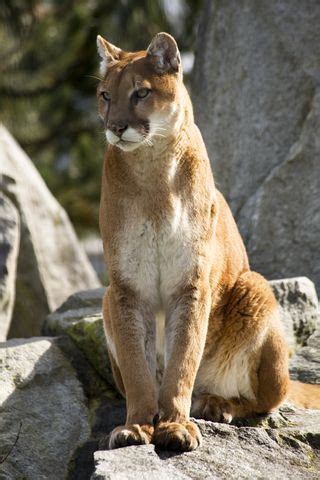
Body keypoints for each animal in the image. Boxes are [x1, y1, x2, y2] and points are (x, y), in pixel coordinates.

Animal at [96, 32, 318, 450]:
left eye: (140, 93)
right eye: (104, 95)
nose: (116, 128)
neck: (153, 170)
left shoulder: (192, 284)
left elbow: (183, 359)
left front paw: (175, 425)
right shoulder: (126, 288)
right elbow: (137, 367)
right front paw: (136, 426)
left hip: (256, 288)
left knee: (266, 403)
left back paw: (215, 404)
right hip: (105, 300)